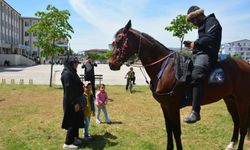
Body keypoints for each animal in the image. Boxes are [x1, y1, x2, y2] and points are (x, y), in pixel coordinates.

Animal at [108, 20, 250, 150]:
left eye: (119, 40)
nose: (110, 63)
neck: (164, 67)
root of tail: (246, 64)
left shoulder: (173, 106)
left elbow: (176, 132)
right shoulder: (164, 106)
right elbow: (169, 129)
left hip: (242, 101)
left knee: (243, 126)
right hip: (230, 99)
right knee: (236, 121)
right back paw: (231, 143)